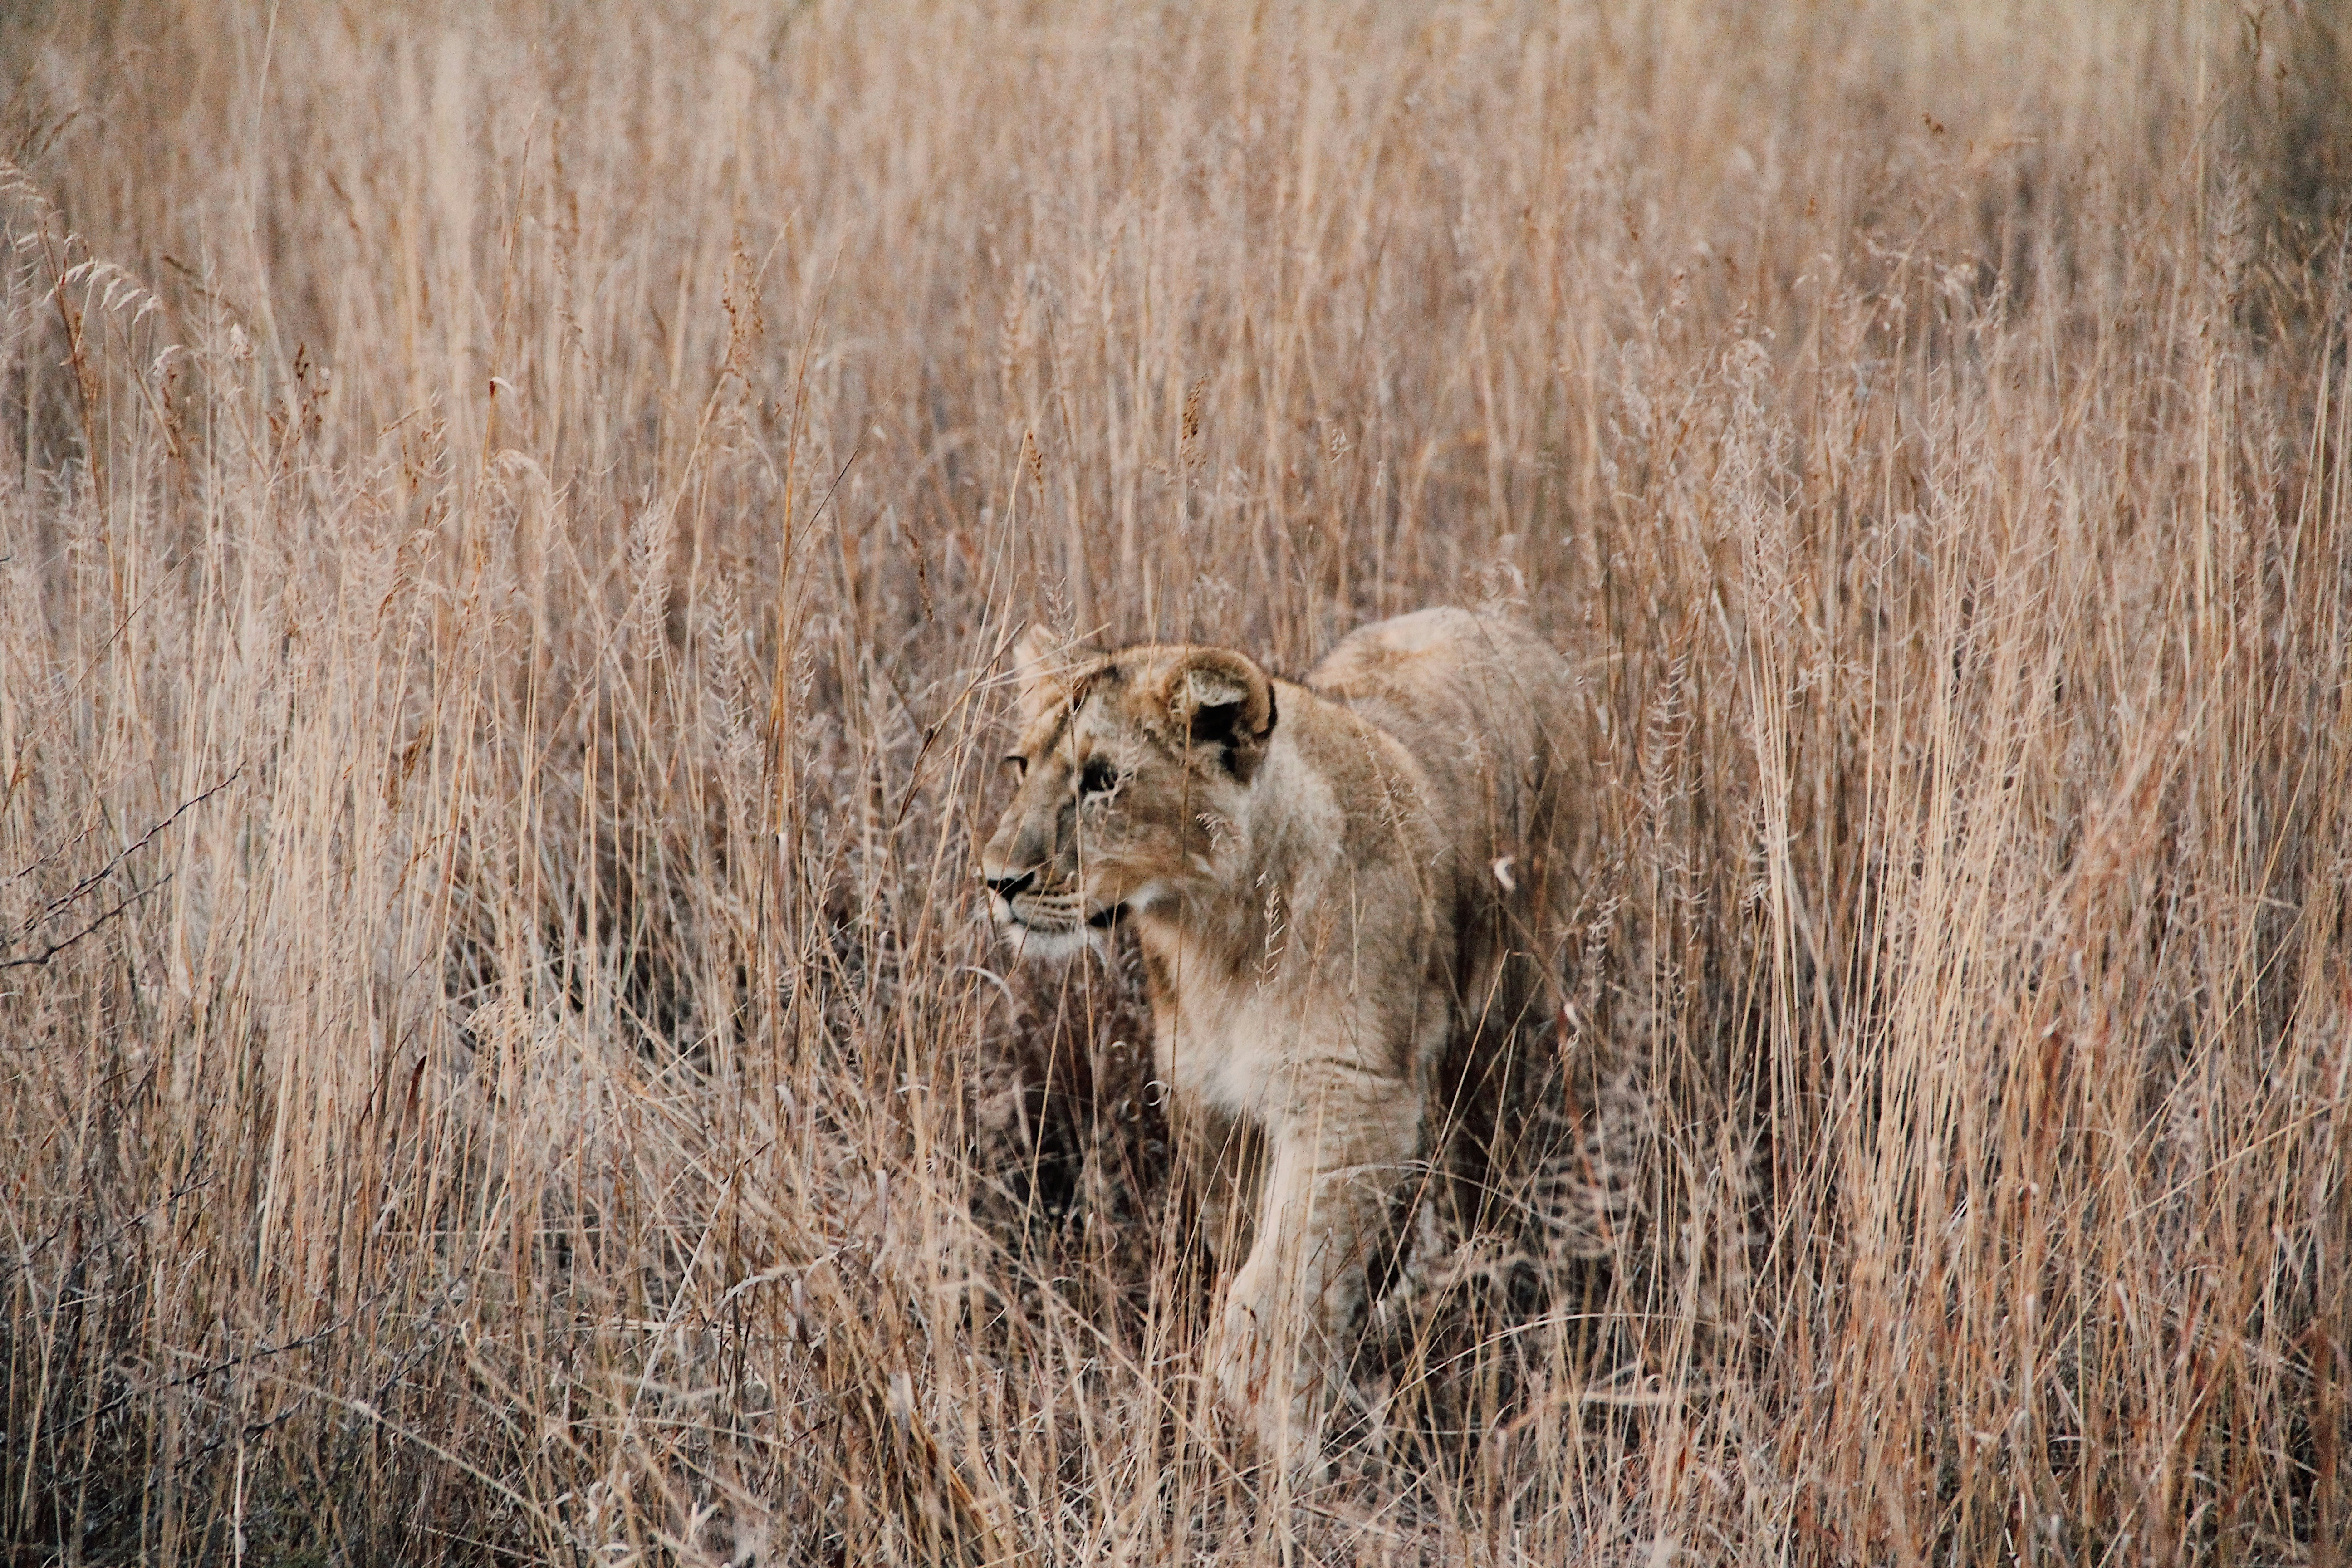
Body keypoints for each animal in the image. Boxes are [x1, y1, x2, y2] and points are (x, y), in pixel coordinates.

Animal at [979, 607, 1584, 1473]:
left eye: (1101, 779)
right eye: (1021, 765)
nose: (998, 881)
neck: (1212, 932)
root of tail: (1489, 614)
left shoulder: (1353, 1098)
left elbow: (1281, 1275)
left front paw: (1274, 1429)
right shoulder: (1206, 1099)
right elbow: (1249, 1248)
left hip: (1513, 1001)